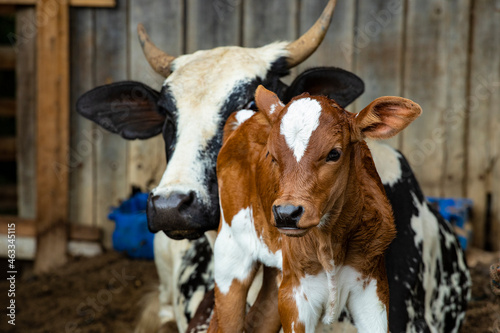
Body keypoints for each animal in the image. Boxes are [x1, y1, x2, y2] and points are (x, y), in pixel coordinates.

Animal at [210, 85, 422, 332]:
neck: (329, 244)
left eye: (334, 153)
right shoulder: (295, 294)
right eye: (272, 156)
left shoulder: (372, 286)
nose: (286, 213)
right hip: (230, 255)